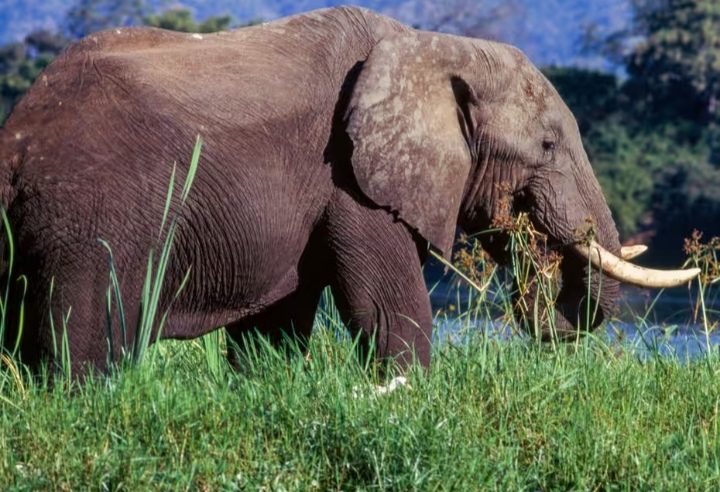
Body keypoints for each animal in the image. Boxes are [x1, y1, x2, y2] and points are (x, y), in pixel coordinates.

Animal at [0, 6, 699, 377]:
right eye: (548, 147)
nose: (541, 284)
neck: (430, 46)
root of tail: (14, 136)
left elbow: (276, 324)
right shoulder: (350, 180)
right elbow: (390, 311)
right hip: (90, 220)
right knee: (85, 343)